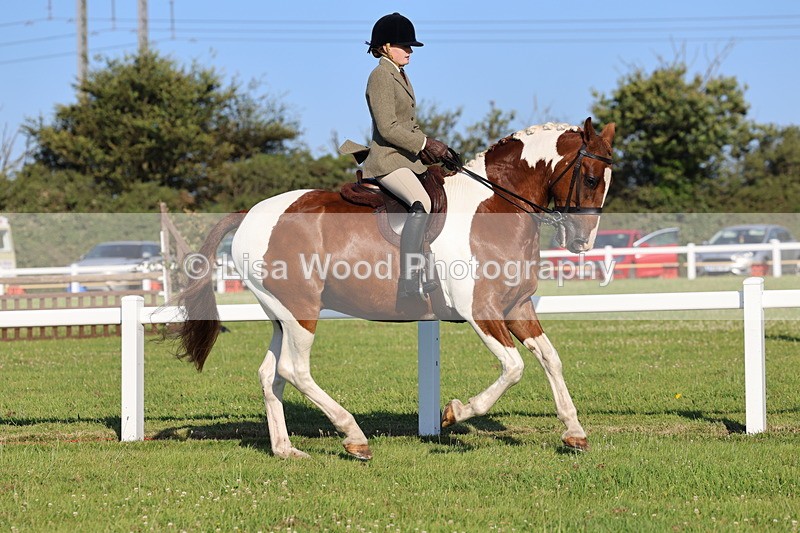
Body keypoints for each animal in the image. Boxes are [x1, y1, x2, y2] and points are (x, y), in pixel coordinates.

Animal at [173, 117, 616, 460]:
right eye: (592, 178)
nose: (582, 242)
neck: (493, 207)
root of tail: (250, 213)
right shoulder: (480, 310)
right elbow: (514, 367)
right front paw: (455, 412)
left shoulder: (517, 307)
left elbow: (550, 359)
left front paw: (574, 433)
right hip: (301, 310)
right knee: (294, 370)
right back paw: (354, 437)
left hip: (280, 315)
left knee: (270, 375)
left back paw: (285, 449)